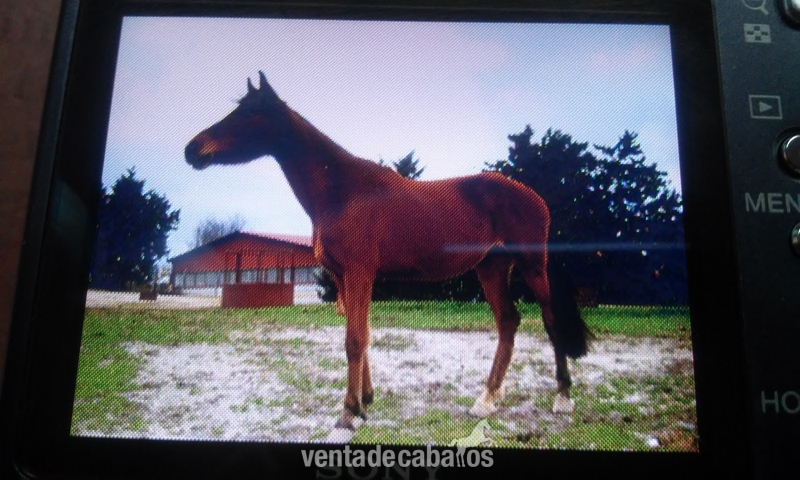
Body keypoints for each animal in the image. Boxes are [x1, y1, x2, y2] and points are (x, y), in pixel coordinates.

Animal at [185, 72, 592, 430]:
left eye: (250, 113)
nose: (193, 149)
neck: (342, 191)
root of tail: (533, 197)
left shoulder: (359, 272)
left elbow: (354, 340)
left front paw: (349, 412)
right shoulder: (342, 276)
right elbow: (360, 334)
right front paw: (365, 401)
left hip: (531, 266)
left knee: (550, 320)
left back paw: (562, 398)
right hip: (491, 269)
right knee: (508, 323)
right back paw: (486, 400)